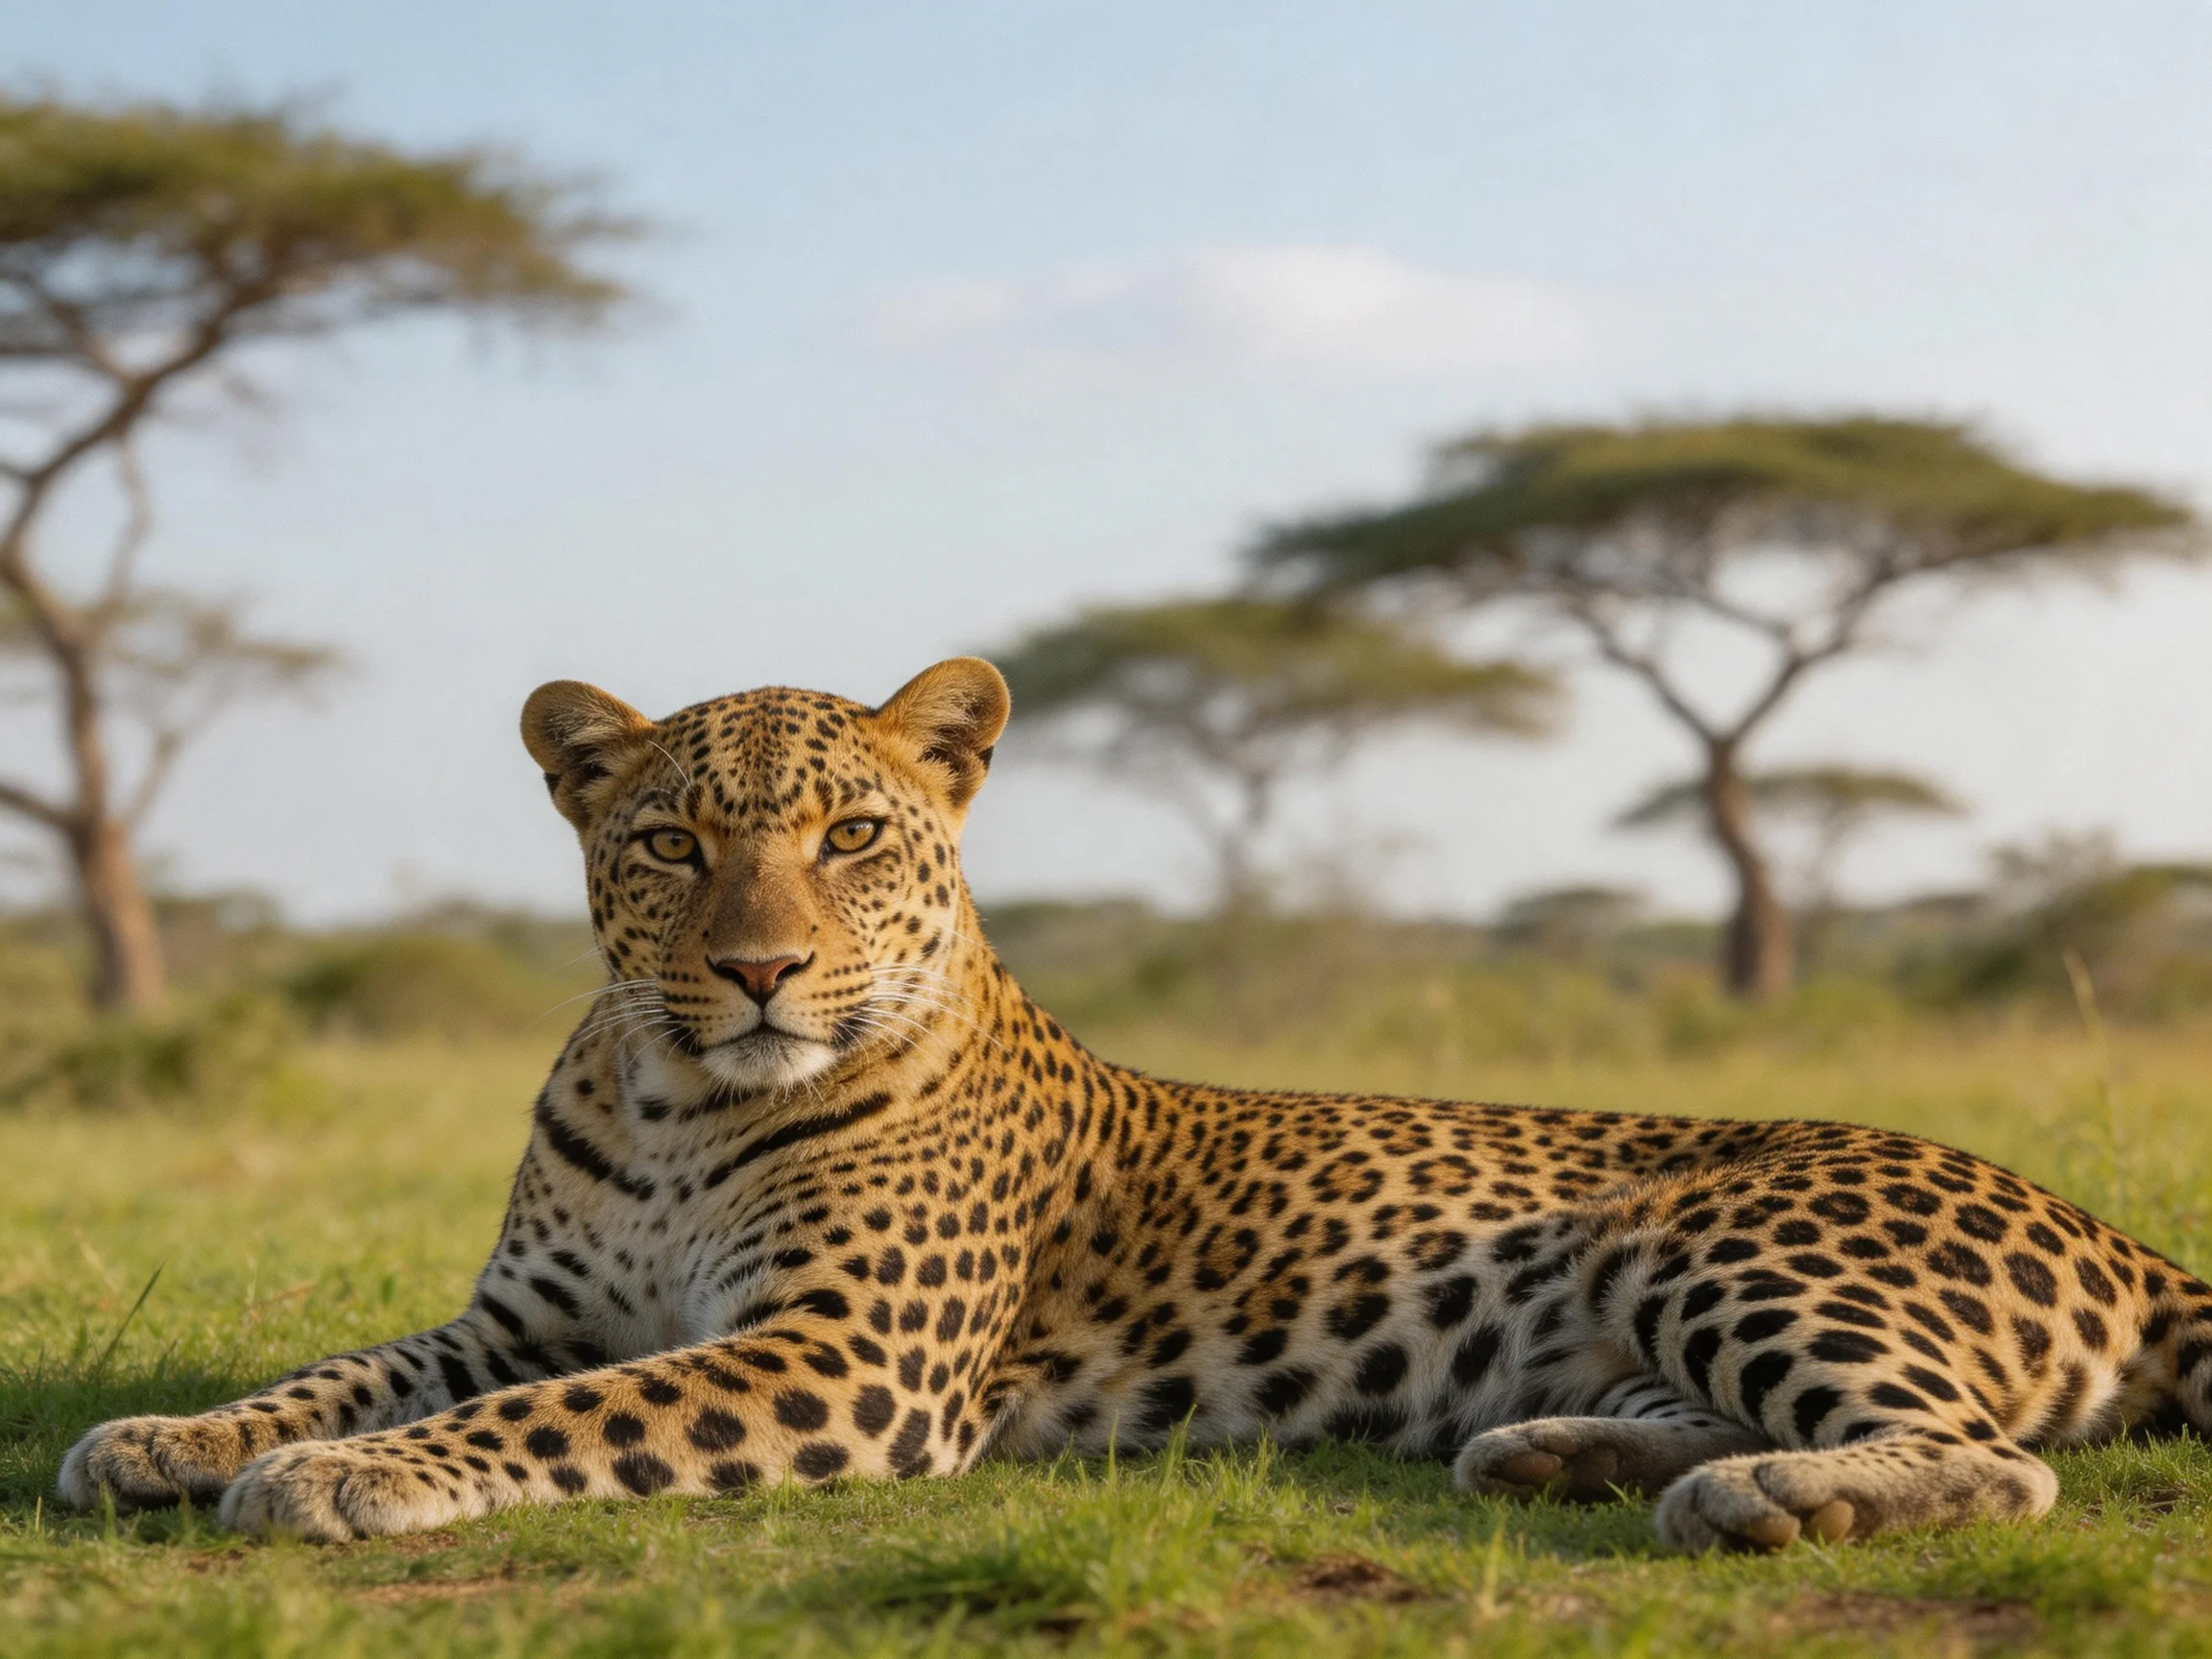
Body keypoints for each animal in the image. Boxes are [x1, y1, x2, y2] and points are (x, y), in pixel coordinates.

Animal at [58, 656, 2212, 1550]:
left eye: (849, 837)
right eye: (671, 844)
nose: (756, 970)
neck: (676, 1095)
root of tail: (2115, 1232)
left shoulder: (842, 1355)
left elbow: (559, 1415)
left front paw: (337, 1483)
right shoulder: (517, 1310)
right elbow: (353, 1366)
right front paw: (167, 1436)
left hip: (1723, 1236)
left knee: (1988, 1458)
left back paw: (1754, 1498)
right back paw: (1549, 1452)